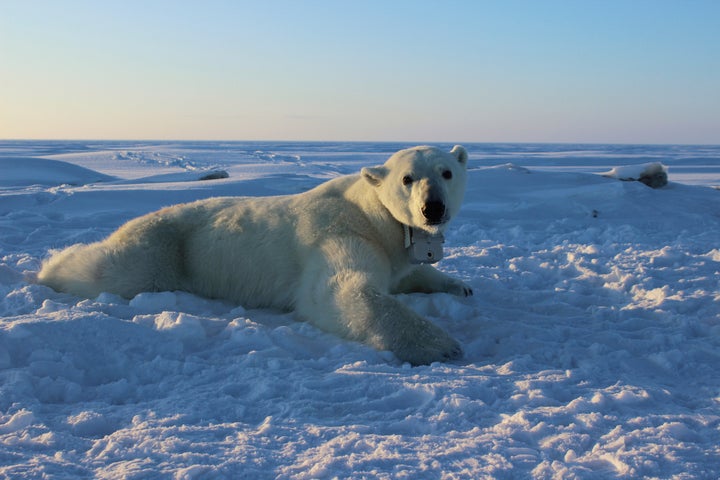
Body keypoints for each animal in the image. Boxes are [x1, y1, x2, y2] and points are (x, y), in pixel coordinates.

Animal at [38, 144, 472, 366]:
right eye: (407, 178)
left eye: (447, 172)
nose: (432, 208)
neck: (372, 214)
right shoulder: (340, 234)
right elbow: (339, 291)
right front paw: (442, 344)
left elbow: (409, 273)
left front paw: (459, 286)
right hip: (163, 249)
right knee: (109, 269)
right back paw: (48, 267)